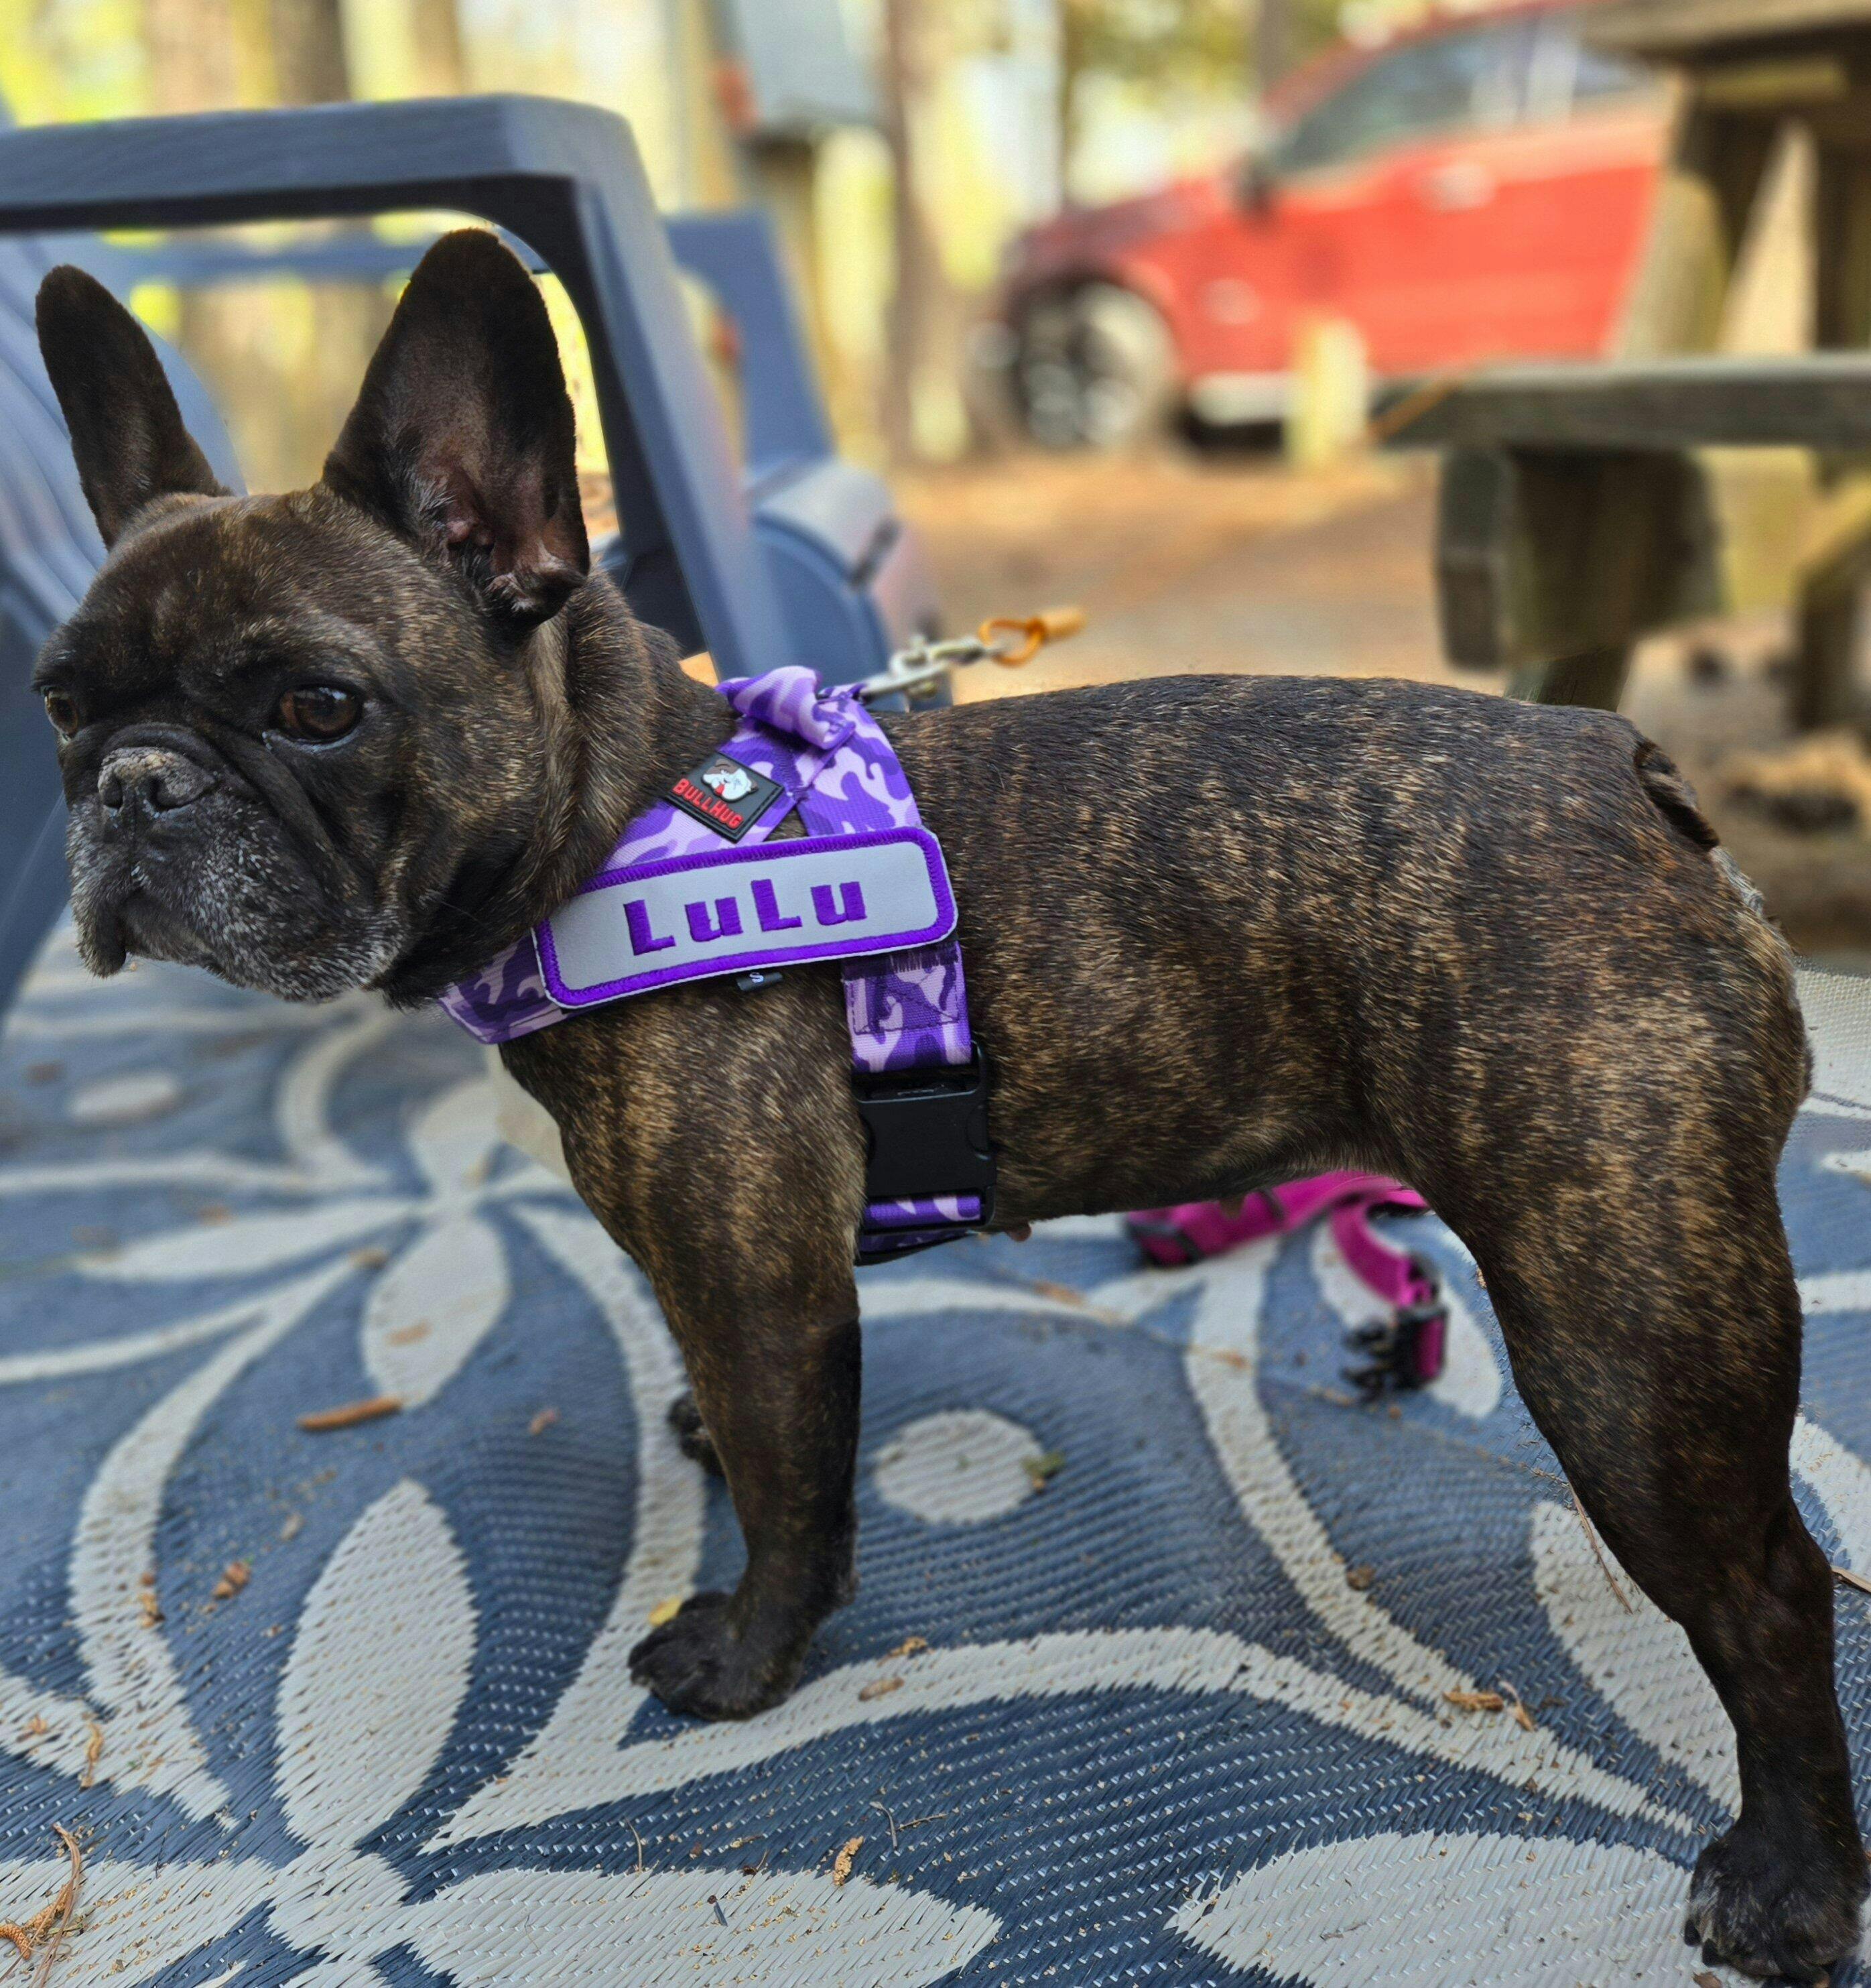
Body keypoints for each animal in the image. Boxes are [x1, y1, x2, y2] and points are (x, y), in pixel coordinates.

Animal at [29, 230, 1864, 1980]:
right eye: (58, 706)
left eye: (315, 707)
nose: (133, 785)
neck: (609, 818)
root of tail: (1623, 774)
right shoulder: (718, 1278)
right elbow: (739, 1415)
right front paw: (698, 1435)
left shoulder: (764, 1287)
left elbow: (793, 1496)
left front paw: (742, 1655)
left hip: (1617, 1337)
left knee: (1769, 1595)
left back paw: (1787, 1883)